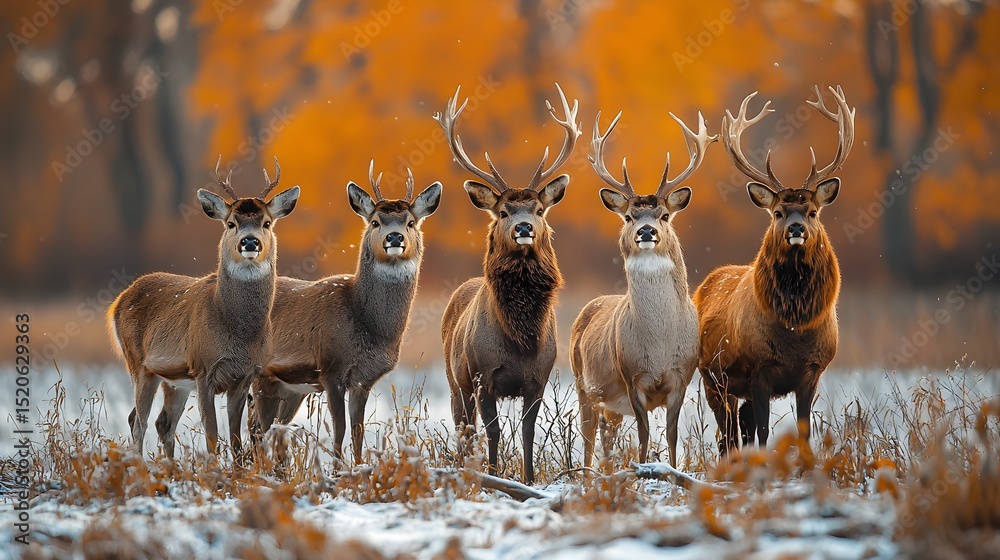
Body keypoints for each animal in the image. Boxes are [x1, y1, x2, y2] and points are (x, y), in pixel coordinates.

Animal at [108, 157, 300, 459]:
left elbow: (236, 440)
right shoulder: (203, 368)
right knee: (138, 422)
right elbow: (212, 437)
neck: (237, 333)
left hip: (172, 379)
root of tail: (119, 300)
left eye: (267, 222)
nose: (249, 241)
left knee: (161, 422)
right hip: (138, 364)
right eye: (231, 223)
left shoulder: (245, 377)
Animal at [249, 162, 441, 464]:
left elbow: (358, 432)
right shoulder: (331, 369)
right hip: (261, 374)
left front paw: (359, 467)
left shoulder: (363, 380)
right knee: (257, 428)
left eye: (410, 222)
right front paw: (338, 470)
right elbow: (339, 430)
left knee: (267, 428)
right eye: (375, 222)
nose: (395, 237)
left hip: (288, 388)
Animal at [437, 83, 580, 484]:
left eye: (540, 209)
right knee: (464, 427)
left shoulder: (538, 378)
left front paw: (529, 480)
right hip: (454, 379)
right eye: (502, 211)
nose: (524, 227)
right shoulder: (482, 375)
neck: (520, 340)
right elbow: (493, 431)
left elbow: (529, 431)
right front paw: (494, 475)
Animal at [571, 109, 717, 469]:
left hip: (608, 404)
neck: (660, 344)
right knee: (588, 438)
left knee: (606, 437)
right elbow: (643, 436)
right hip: (584, 386)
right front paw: (644, 470)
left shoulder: (682, 377)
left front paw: (674, 472)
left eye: (664, 214)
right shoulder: (632, 377)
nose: (646, 231)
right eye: (627, 217)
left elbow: (672, 436)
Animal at [694, 86, 854, 456]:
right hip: (712, 377)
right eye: (778, 212)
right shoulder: (759, 368)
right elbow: (765, 433)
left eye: (813, 212)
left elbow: (803, 432)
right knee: (727, 433)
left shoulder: (813, 371)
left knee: (739, 427)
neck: (796, 329)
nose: (796, 228)